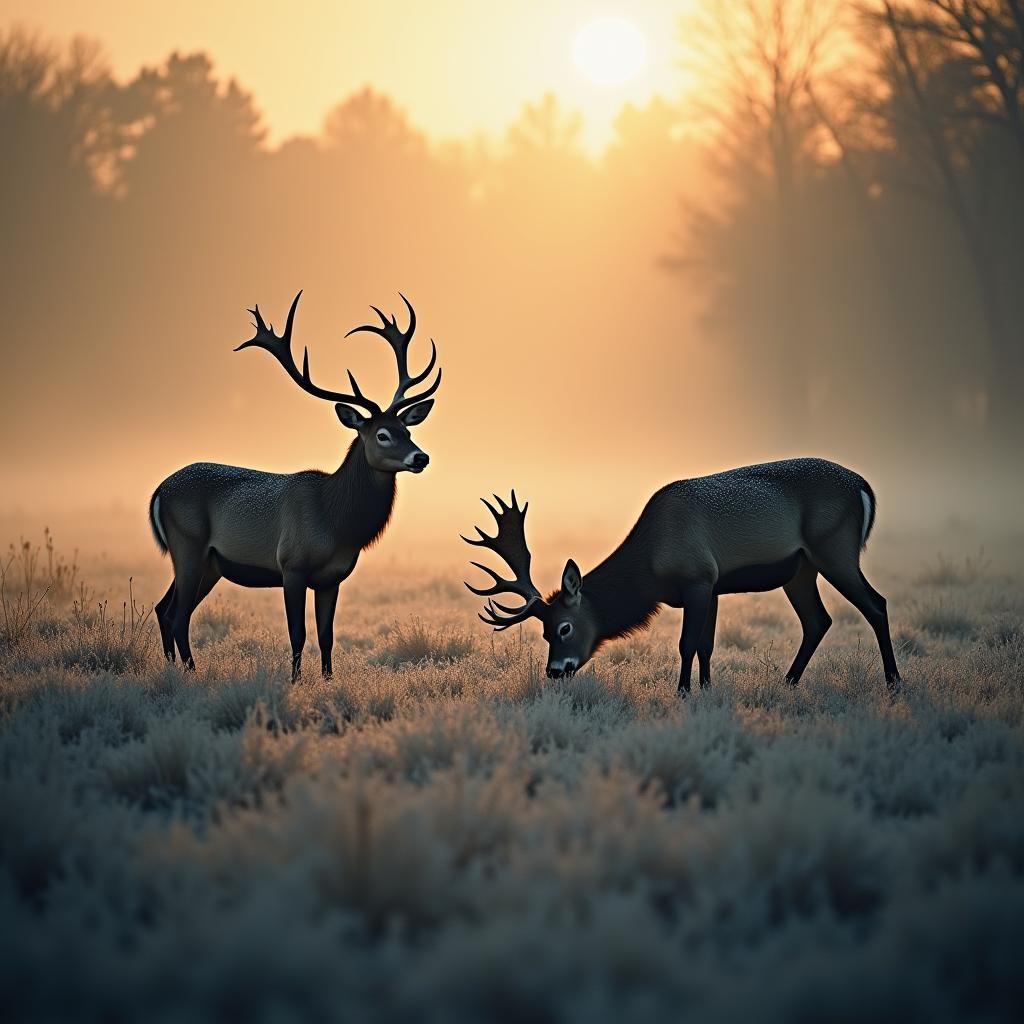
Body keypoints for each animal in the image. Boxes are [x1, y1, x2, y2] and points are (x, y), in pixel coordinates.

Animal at [149, 291, 440, 680]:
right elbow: (298, 633)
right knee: (177, 614)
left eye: (407, 429)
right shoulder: (291, 565)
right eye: (382, 434)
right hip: (188, 546)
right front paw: (295, 680)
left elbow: (327, 635)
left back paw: (172, 669)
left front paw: (328, 679)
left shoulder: (332, 578)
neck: (337, 523)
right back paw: (191, 672)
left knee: (164, 608)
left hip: (210, 563)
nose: (420, 457)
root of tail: (159, 491)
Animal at [464, 459, 901, 695]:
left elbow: (687, 642)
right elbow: (707, 644)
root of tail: (864, 489)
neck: (651, 570)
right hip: (800, 569)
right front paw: (706, 690)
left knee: (876, 604)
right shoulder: (714, 585)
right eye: (542, 632)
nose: (555, 671)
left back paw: (894, 683)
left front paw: (684, 691)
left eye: (564, 627)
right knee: (817, 620)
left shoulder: (697, 577)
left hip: (835, 548)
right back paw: (788, 682)